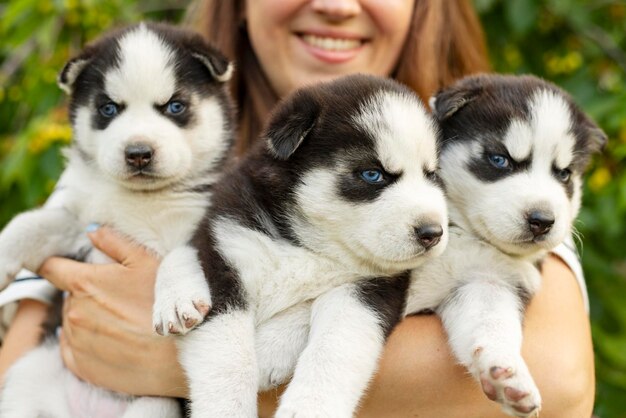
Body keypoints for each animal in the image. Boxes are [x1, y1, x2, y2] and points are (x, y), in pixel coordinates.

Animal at [0, 23, 233, 418]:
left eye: (174, 106)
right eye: (108, 109)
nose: (138, 153)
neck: (140, 200)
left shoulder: (203, 220)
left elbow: (178, 254)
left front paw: (175, 300)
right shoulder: (85, 224)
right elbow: (33, 223)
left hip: (156, 403)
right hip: (28, 375)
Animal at [152, 73, 448, 416]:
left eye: (431, 174)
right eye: (372, 174)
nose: (432, 232)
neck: (310, 244)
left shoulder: (372, 289)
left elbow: (336, 345)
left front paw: (308, 401)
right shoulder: (225, 256)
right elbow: (227, 362)